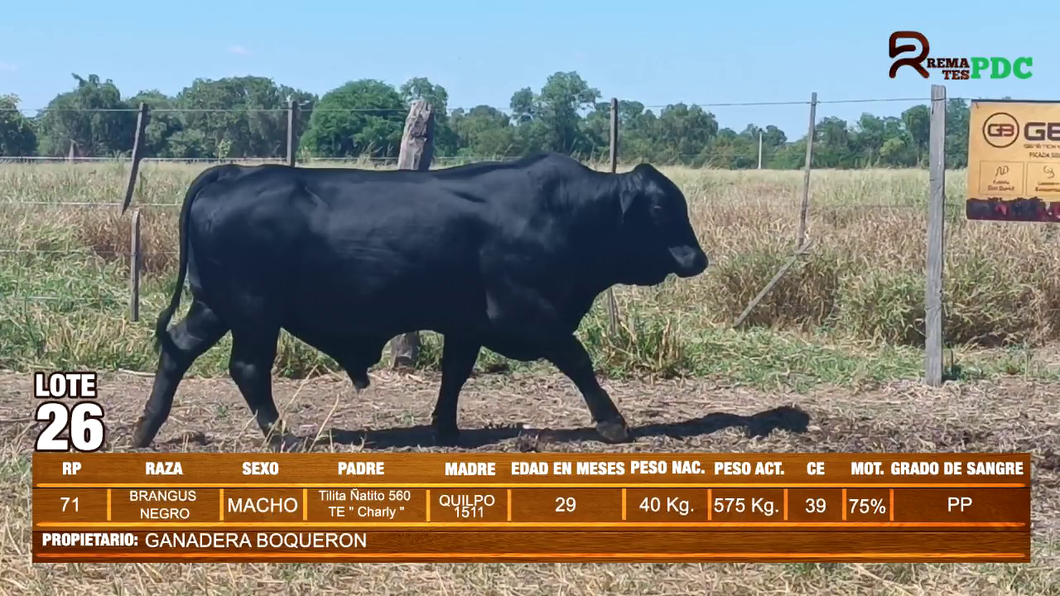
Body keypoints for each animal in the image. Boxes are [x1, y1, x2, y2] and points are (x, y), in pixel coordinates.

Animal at [130, 150, 712, 447]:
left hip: (215, 307)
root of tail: (233, 171)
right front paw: (612, 423)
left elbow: (455, 372)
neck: (566, 212)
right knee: (249, 368)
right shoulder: (526, 312)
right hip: (254, 313)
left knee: (177, 348)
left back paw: (143, 430)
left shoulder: (467, 322)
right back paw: (283, 437)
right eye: (661, 209)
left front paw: (446, 428)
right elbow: (577, 360)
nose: (697, 259)